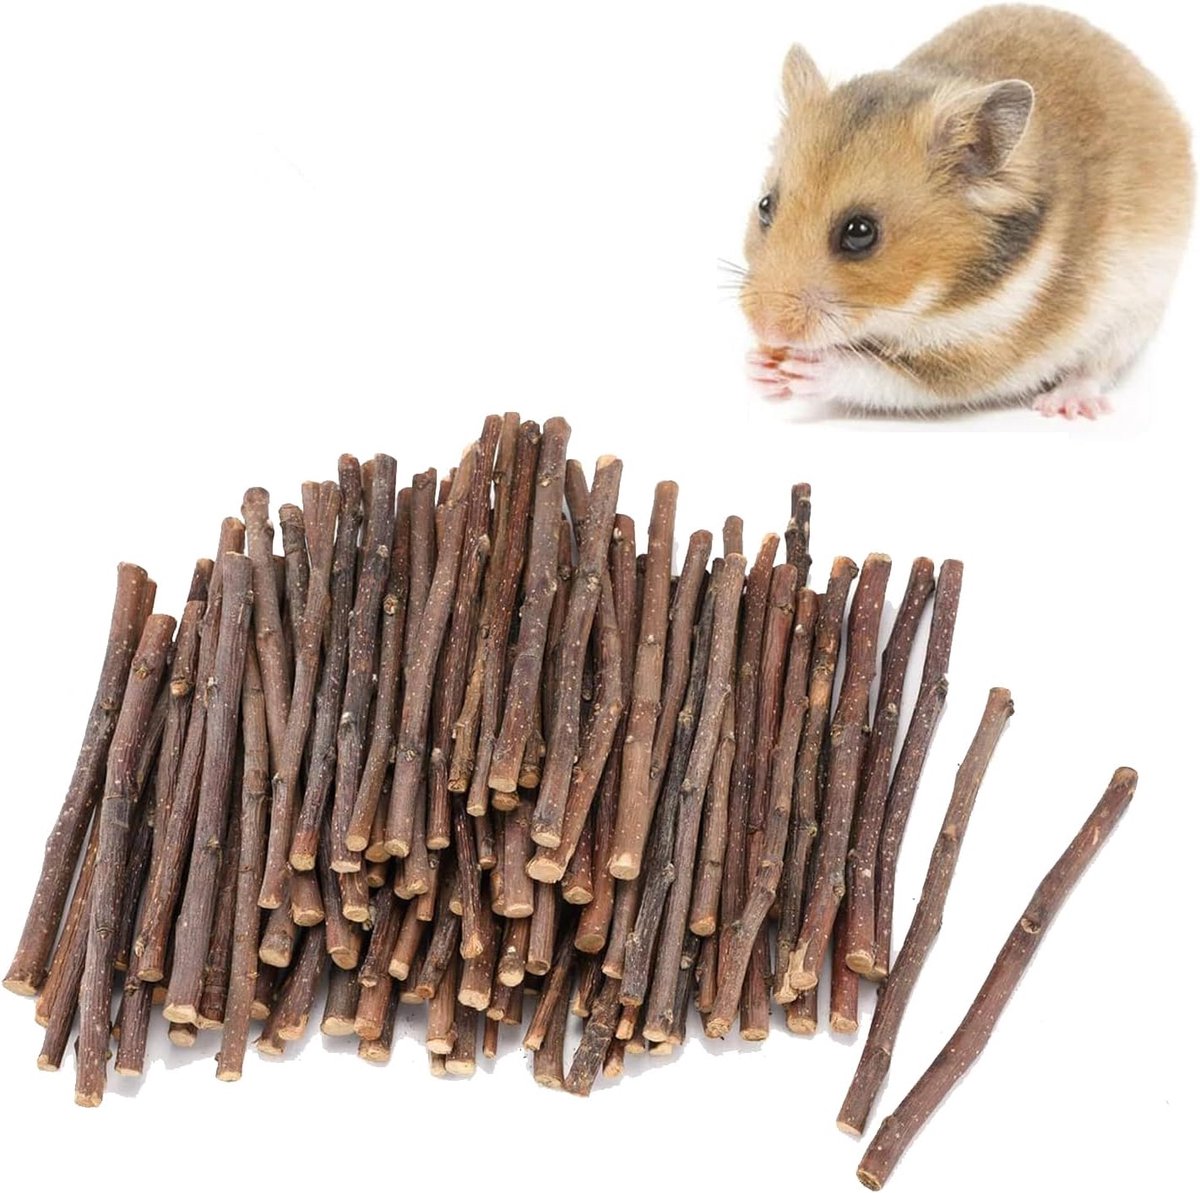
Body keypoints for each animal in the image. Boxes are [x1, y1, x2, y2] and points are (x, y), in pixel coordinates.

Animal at [740, 5, 1194, 418]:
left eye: (860, 232)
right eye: (765, 206)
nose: (766, 327)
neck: (937, 299)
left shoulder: (977, 353)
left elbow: (880, 374)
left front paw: (809, 367)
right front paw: (759, 368)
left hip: (1137, 312)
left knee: (1097, 367)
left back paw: (1063, 405)